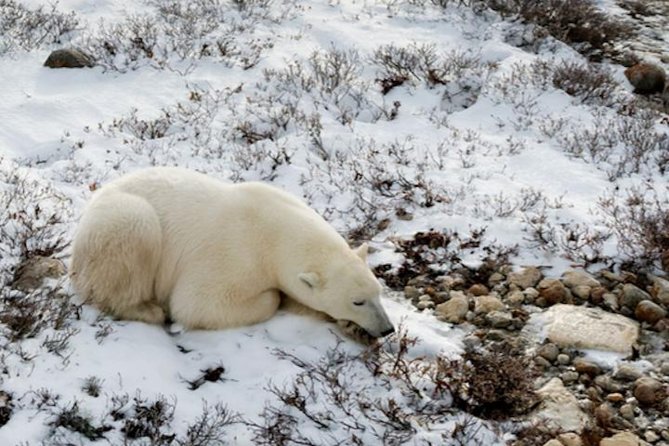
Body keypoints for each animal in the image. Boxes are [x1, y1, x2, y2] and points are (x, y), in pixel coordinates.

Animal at [70, 166, 394, 338]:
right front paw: (275, 297)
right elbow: (197, 303)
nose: (388, 329)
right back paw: (148, 309)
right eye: (357, 301)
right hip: (121, 223)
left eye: (378, 292)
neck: (273, 227)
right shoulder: (235, 253)